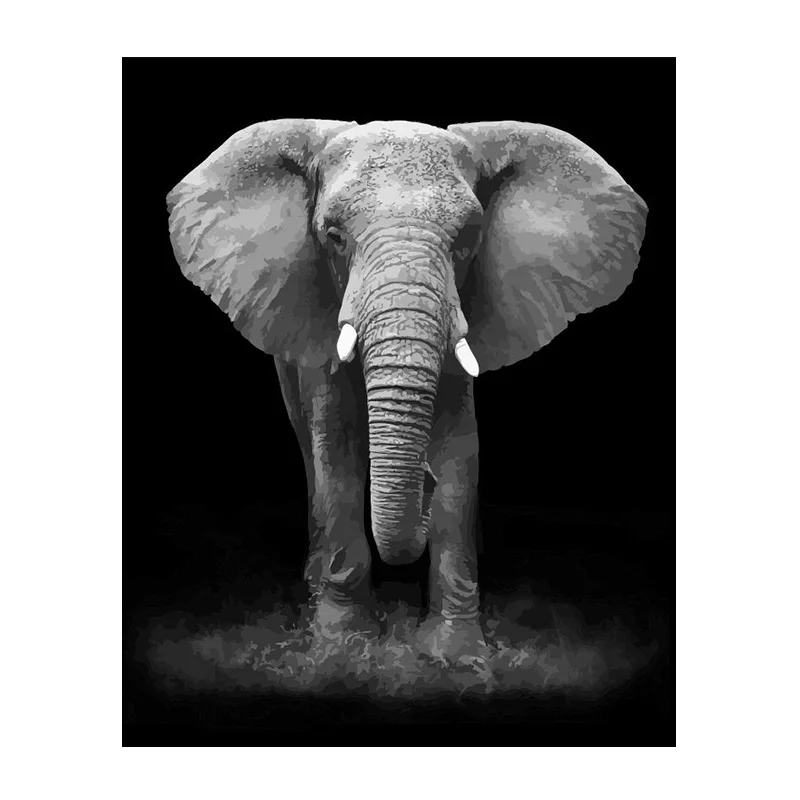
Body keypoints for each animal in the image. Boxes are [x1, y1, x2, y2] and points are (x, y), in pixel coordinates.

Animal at [166, 119, 647, 664]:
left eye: (468, 238)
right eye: (333, 237)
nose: (423, 483)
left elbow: (461, 449)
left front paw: (455, 656)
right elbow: (336, 450)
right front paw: (343, 646)